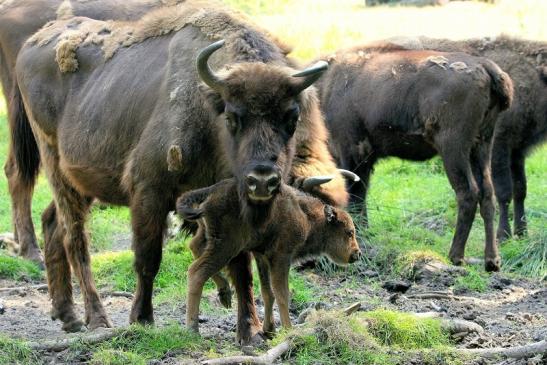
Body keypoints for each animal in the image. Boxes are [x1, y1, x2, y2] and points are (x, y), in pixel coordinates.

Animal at [15, 1, 348, 344]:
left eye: (291, 117)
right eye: (232, 116)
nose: (262, 181)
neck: (208, 113)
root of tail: (32, 43)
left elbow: (240, 267)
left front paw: (249, 329)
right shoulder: (149, 191)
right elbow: (148, 258)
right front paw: (142, 319)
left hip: (84, 182)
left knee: (51, 222)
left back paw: (67, 316)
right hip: (55, 164)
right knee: (75, 238)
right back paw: (96, 319)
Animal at [316, 43, 512, 270]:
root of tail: (486, 67)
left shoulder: (351, 152)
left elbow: (355, 196)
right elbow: (360, 196)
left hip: (454, 147)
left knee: (468, 193)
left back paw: (456, 256)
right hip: (481, 145)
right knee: (487, 194)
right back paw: (492, 261)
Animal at [388, 34, 544, 242]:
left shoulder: (518, 151)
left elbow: (521, 189)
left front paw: (522, 233)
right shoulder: (499, 147)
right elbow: (504, 191)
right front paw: (503, 236)